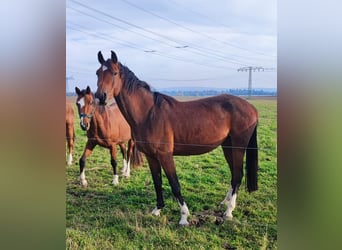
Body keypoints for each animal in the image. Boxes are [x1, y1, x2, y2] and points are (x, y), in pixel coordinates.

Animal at [95, 50, 258, 225]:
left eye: (114, 73)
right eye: (98, 73)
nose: (100, 97)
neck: (148, 113)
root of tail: (251, 108)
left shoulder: (165, 155)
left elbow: (174, 184)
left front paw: (184, 217)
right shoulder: (151, 156)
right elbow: (157, 182)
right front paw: (157, 209)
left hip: (238, 146)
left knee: (238, 175)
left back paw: (228, 211)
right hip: (227, 146)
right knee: (234, 174)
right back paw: (225, 202)